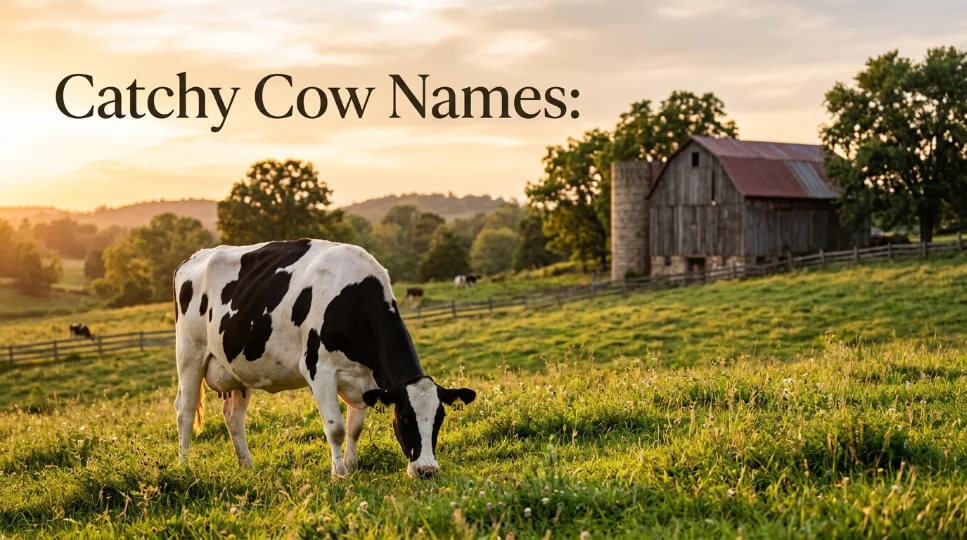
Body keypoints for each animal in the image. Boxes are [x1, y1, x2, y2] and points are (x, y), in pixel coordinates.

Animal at [172, 239, 476, 478]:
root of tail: (192, 258)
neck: (354, 298)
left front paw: (351, 467)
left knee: (234, 417)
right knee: (185, 411)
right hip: (189, 354)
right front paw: (338, 474)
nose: (427, 470)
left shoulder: (366, 379)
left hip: (237, 368)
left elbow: (355, 428)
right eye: (404, 417)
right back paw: (184, 465)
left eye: (439, 419)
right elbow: (336, 428)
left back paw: (247, 466)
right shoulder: (318, 369)